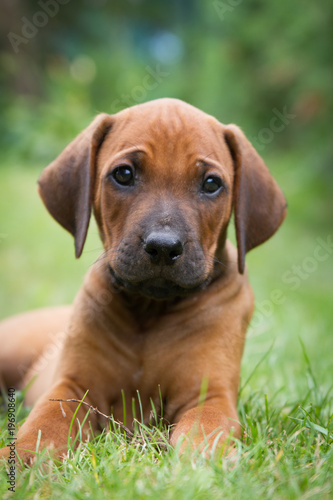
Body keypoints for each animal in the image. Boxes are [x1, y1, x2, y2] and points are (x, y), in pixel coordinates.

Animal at [0, 98, 286, 464]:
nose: (163, 247)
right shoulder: (71, 387)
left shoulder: (209, 395)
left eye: (211, 184)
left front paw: (204, 461)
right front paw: (20, 457)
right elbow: (42, 425)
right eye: (124, 174)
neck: (151, 310)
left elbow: (206, 429)